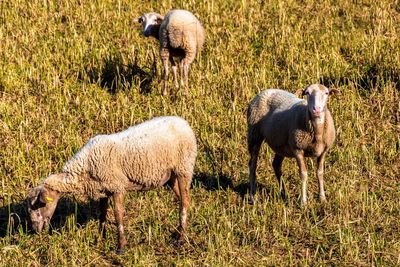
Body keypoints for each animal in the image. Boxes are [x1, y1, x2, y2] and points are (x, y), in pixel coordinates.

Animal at [25, 116, 198, 254]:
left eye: (39, 206)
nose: (36, 230)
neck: (85, 167)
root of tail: (183, 122)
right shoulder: (103, 190)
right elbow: (102, 214)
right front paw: (100, 238)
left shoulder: (117, 187)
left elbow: (118, 215)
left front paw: (121, 246)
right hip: (171, 176)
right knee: (185, 199)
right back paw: (180, 231)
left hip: (184, 167)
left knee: (184, 201)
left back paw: (181, 238)